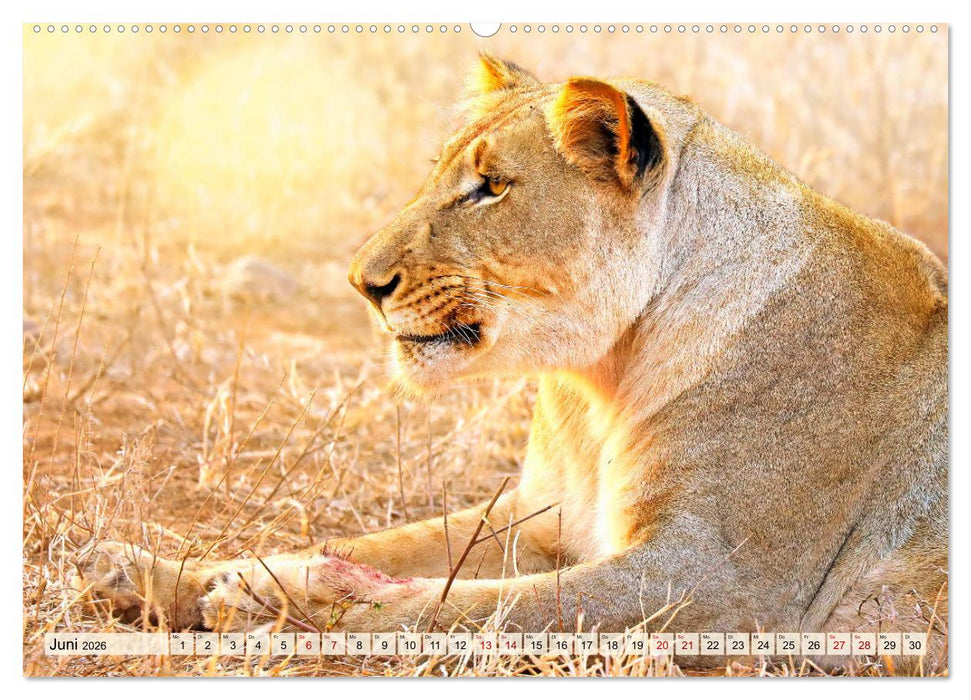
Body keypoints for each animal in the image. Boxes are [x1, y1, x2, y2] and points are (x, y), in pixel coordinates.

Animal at [78, 55, 947, 671]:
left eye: (490, 187)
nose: (361, 282)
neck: (603, 379)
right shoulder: (546, 517)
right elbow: (393, 547)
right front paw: (155, 573)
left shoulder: (730, 587)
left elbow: (476, 609)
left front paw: (288, 607)